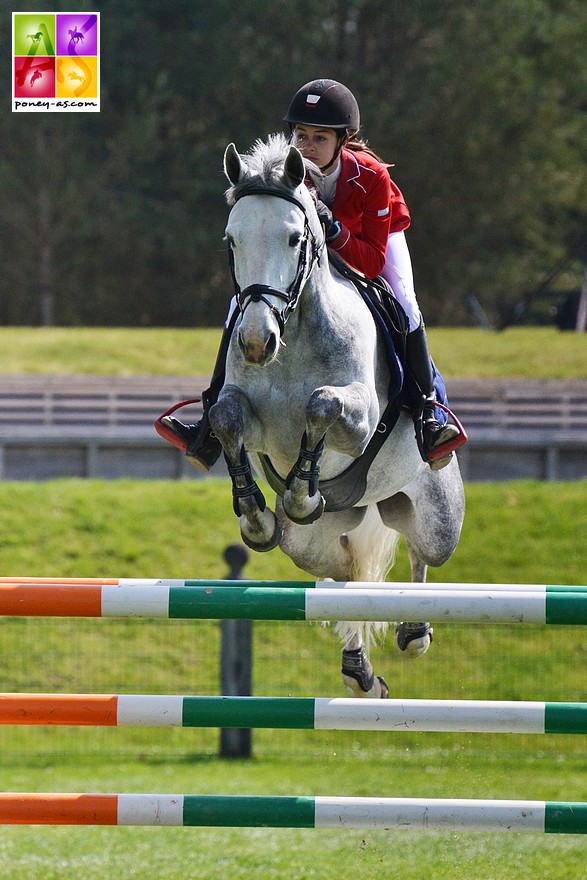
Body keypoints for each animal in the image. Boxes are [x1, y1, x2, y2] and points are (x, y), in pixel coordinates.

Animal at [164, 134, 464, 696]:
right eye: (231, 240)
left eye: (292, 239)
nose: (255, 342)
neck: (294, 337)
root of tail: (369, 503)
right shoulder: (245, 413)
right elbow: (227, 421)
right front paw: (256, 513)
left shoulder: (360, 418)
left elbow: (320, 403)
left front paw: (303, 492)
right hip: (310, 545)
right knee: (347, 573)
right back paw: (359, 670)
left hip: (438, 518)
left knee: (422, 552)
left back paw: (414, 629)